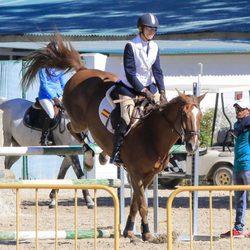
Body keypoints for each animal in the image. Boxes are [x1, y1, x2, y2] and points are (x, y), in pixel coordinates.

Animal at [21, 35, 205, 242]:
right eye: (184, 115)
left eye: (200, 116)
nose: (192, 145)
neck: (152, 134)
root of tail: (82, 70)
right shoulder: (135, 172)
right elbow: (142, 204)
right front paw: (147, 233)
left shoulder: (148, 175)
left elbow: (135, 202)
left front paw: (129, 230)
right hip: (79, 120)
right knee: (72, 129)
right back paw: (90, 156)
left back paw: (100, 156)